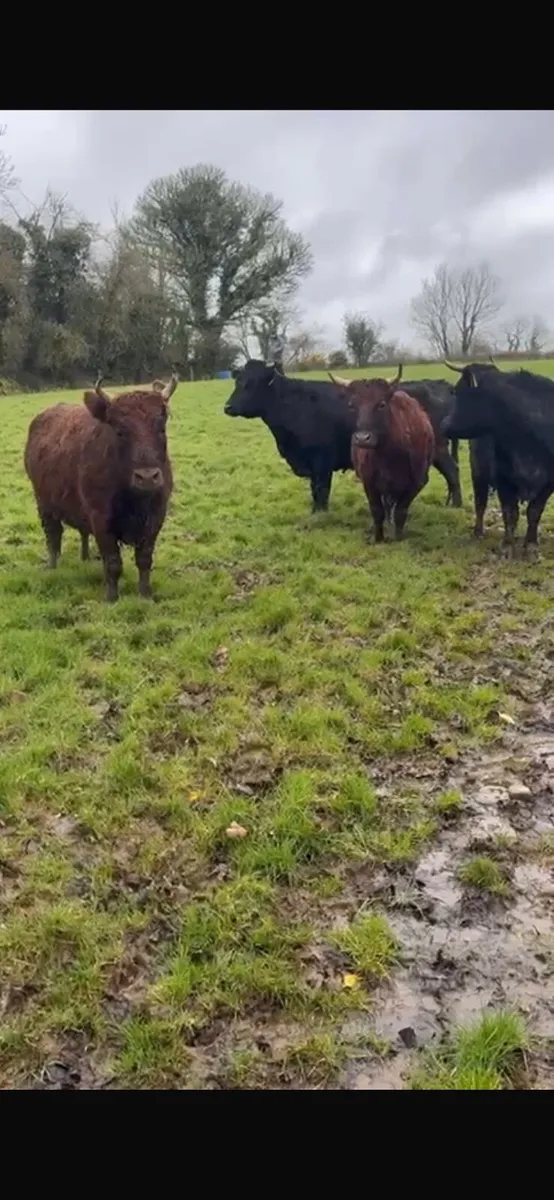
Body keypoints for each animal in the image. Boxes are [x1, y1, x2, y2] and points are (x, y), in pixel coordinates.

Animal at [24, 373, 178, 601]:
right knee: (53, 535)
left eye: (161, 427)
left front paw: (145, 594)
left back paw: (85, 557)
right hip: (43, 503)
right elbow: (113, 563)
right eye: (120, 431)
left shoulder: (155, 519)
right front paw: (112, 597)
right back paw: (51, 565)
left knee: (81, 532)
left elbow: (144, 560)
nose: (148, 477)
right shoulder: (101, 521)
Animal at [224, 360, 459, 514]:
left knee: (453, 472)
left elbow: (321, 490)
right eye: (238, 382)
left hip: (438, 449)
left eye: (252, 383)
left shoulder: (321, 461)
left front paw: (319, 514)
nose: (228, 407)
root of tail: (441, 384)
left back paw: (456, 505)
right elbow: (315, 490)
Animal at [344, 373, 435, 543]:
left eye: (381, 404)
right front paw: (378, 538)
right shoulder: (369, 482)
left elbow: (401, 510)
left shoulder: (417, 482)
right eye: (352, 405)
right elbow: (377, 511)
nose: (362, 439)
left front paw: (398, 537)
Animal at [442, 362, 554, 557]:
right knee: (480, 503)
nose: (443, 424)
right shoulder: (503, 478)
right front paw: (507, 546)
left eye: (459, 391)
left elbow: (534, 512)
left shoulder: (549, 483)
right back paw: (478, 532)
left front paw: (531, 545)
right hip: (478, 471)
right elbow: (510, 513)